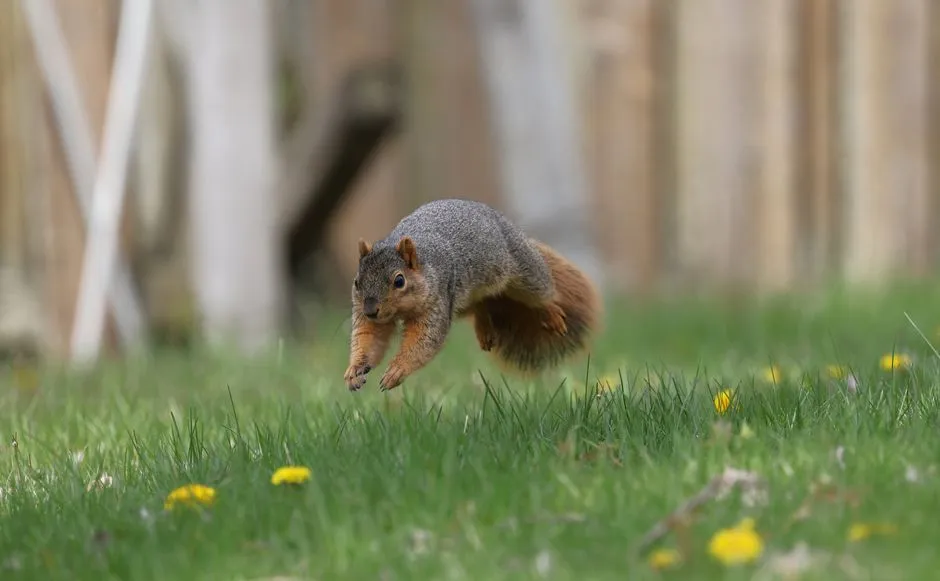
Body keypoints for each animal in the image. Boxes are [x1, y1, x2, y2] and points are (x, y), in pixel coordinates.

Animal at [344, 198, 602, 392]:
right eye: (357, 281)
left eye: (399, 281)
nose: (370, 310)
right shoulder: (372, 318)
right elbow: (369, 337)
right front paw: (355, 370)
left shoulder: (438, 301)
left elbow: (424, 341)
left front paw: (397, 370)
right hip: (463, 298)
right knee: (481, 304)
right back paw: (485, 329)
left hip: (525, 274)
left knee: (542, 293)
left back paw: (551, 313)